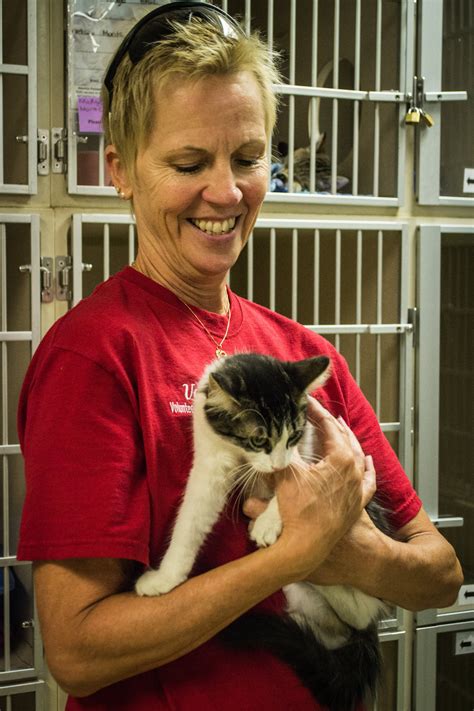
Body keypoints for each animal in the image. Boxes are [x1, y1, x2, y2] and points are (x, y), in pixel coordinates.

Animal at [135, 356, 390, 711]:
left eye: (293, 435)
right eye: (259, 440)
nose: (276, 464)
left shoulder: (310, 444)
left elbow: (302, 480)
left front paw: (268, 522)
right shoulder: (211, 455)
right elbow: (192, 517)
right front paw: (165, 578)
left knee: (362, 606)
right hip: (302, 596)